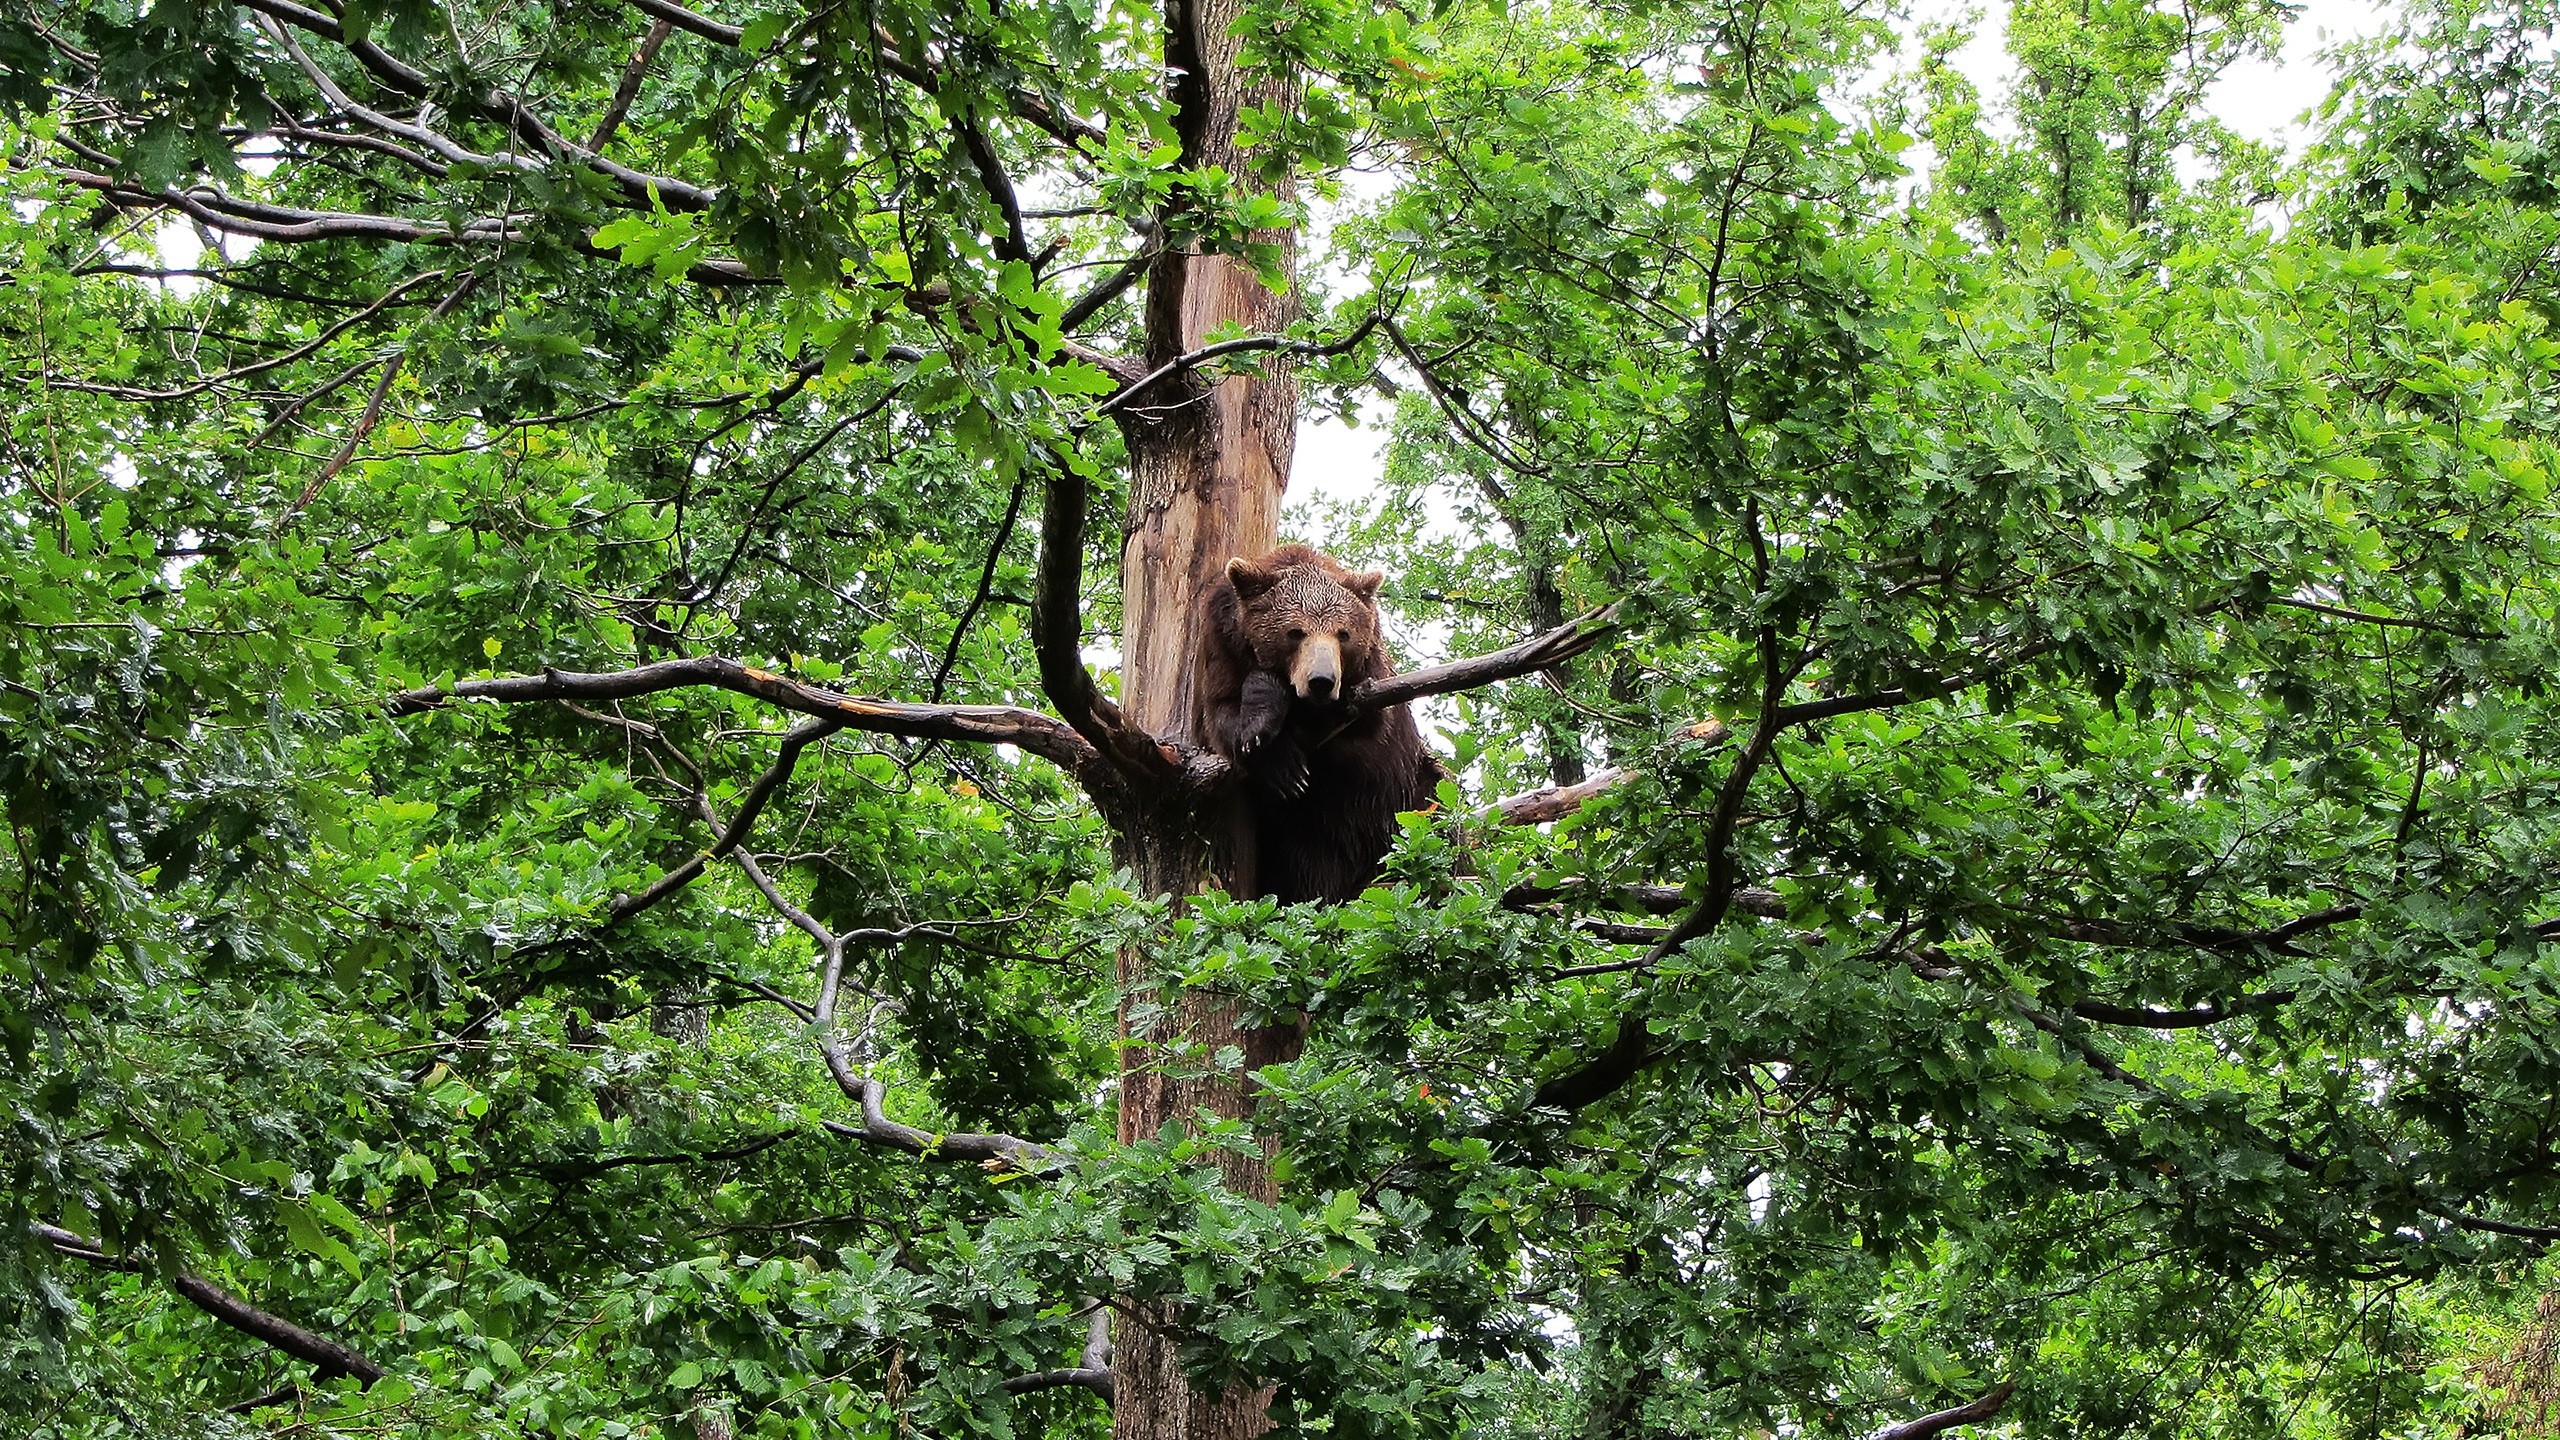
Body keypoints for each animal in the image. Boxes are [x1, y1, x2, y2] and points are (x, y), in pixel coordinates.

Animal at [1192, 538, 1443, 896]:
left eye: (1343, 634)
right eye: (1295, 632)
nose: (1321, 681)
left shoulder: (1370, 686)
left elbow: (1364, 724)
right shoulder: (1222, 646)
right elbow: (1224, 717)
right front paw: (1280, 760)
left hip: (1407, 797)